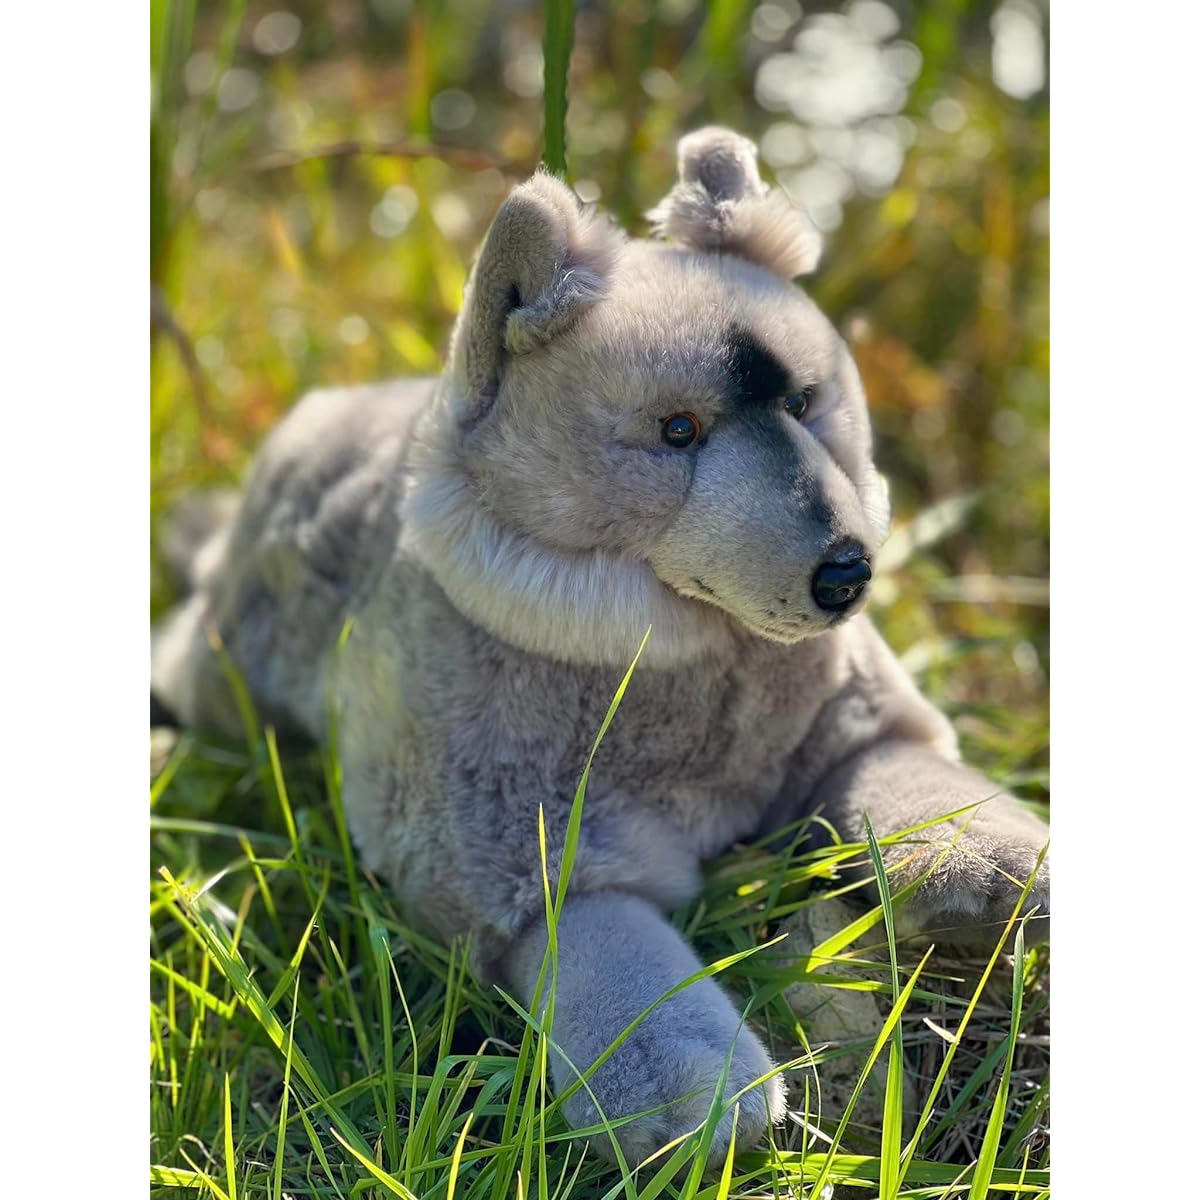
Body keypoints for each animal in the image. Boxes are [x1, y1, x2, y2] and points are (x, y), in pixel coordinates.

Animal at [152, 127, 1049, 1167]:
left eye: (808, 403)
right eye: (677, 431)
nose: (845, 574)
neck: (693, 663)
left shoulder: (856, 722)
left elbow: (916, 779)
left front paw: (994, 873)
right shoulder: (517, 850)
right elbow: (613, 955)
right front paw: (693, 1096)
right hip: (231, 668)